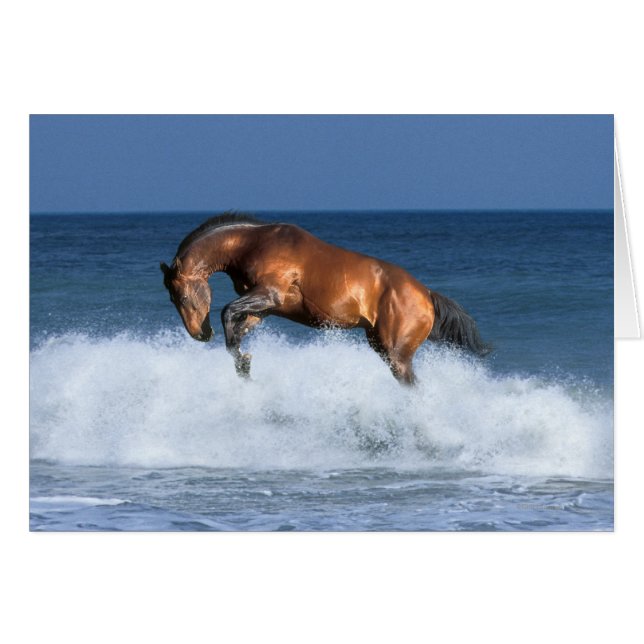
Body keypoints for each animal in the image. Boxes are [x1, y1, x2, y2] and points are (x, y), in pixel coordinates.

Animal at [160, 213, 489, 385]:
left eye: (183, 296)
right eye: (172, 299)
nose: (200, 334)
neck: (253, 244)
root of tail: (427, 295)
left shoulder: (268, 294)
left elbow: (227, 312)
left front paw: (242, 361)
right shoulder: (264, 308)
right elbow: (236, 329)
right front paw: (244, 364)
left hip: (397, 355)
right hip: (380, 345)